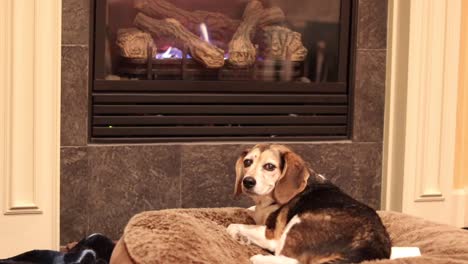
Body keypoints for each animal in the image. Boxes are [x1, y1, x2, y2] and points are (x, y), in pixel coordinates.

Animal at [227, 144, 392, 264]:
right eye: (247, 162)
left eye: (269, 166)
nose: (247, 181)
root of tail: (368, 246)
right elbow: (250, 211)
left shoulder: (272, 235)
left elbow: (232, 226)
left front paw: (238, 234)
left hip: (297, 221)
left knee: (293, 261)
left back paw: (259, 258)